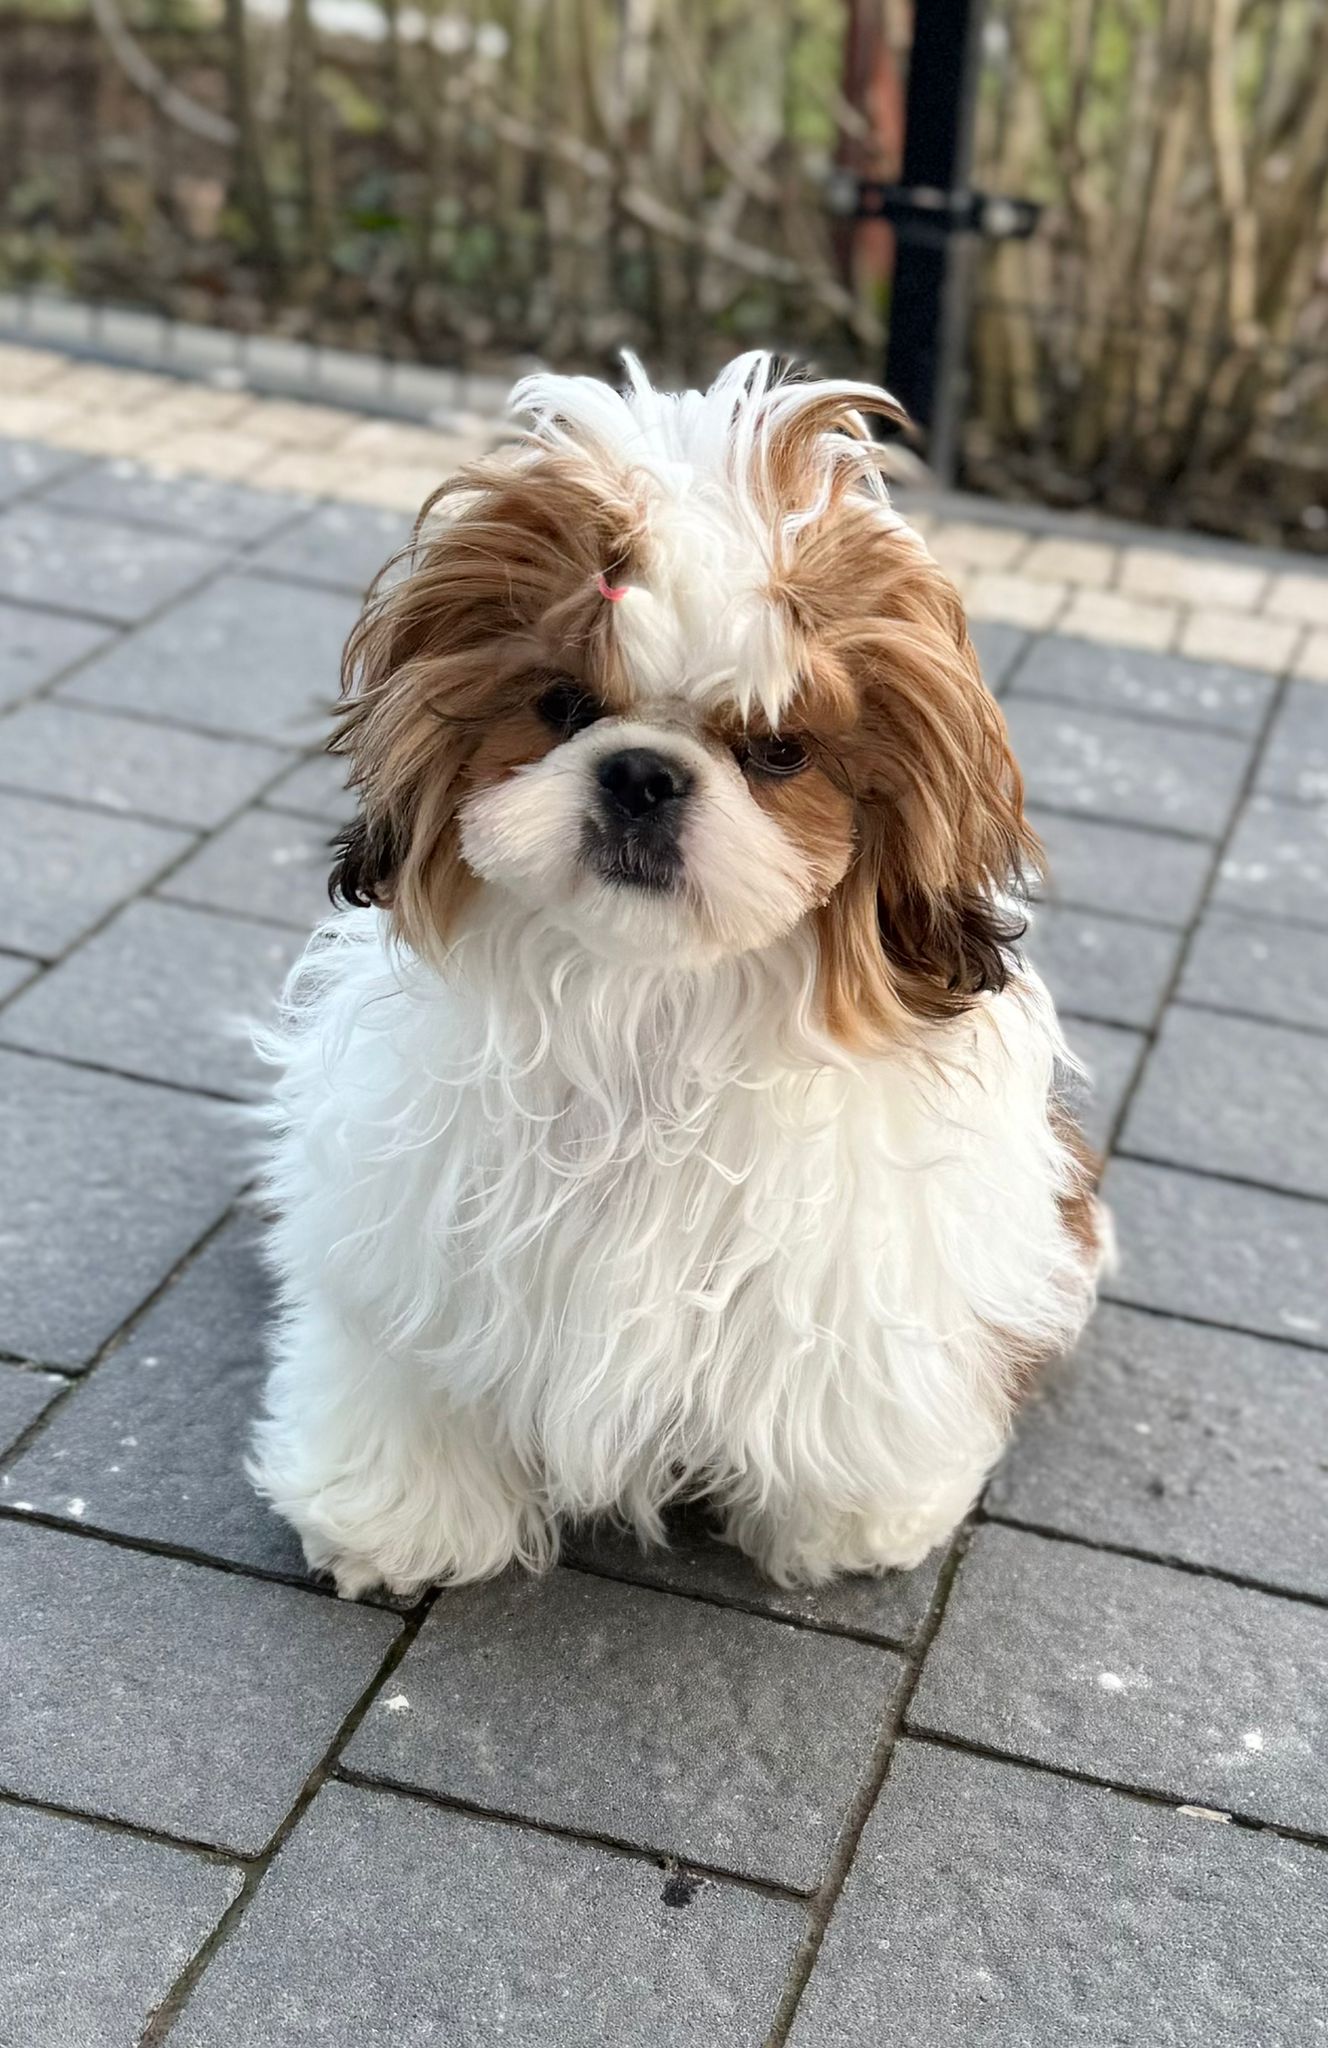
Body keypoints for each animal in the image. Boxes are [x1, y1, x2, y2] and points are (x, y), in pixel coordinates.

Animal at [251, 352, 1107, 1599]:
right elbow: (415, 1359)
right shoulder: (421, 1233)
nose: (642, 774)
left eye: (779, 748)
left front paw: (850, 1517)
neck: (641, 1000)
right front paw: (397, 1511)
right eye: (563, 706)